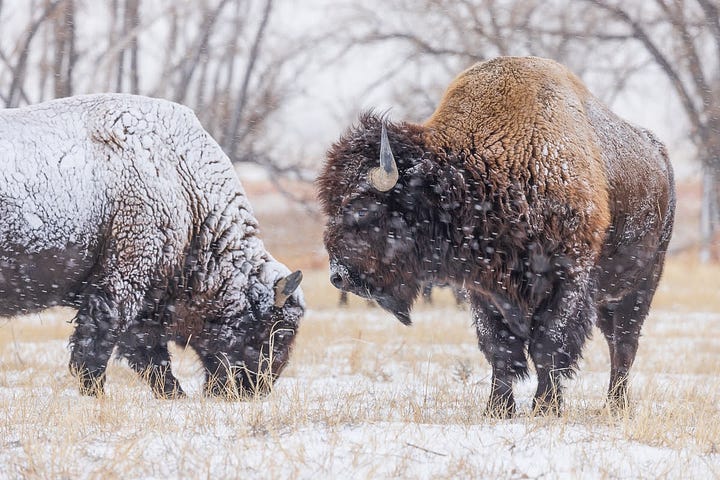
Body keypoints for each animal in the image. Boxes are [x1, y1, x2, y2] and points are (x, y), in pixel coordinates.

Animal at [0, 93, 304, 398]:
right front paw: (95, 393)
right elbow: (98, 345)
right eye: (280, 331)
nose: (255, 389)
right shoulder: (121, 283)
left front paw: (174, 395)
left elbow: (148, 356)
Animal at [320, 56, 676, 416]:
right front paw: (498, 408)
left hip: (642, 284)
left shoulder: (569, 280)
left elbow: (549, 344)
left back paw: (616, 405)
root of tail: (660, 157)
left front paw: (545, 407)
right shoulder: (485, 290)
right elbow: (499, 348)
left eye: (361, 208)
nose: (338, 276)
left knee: (624, 344)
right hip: (608, 297)